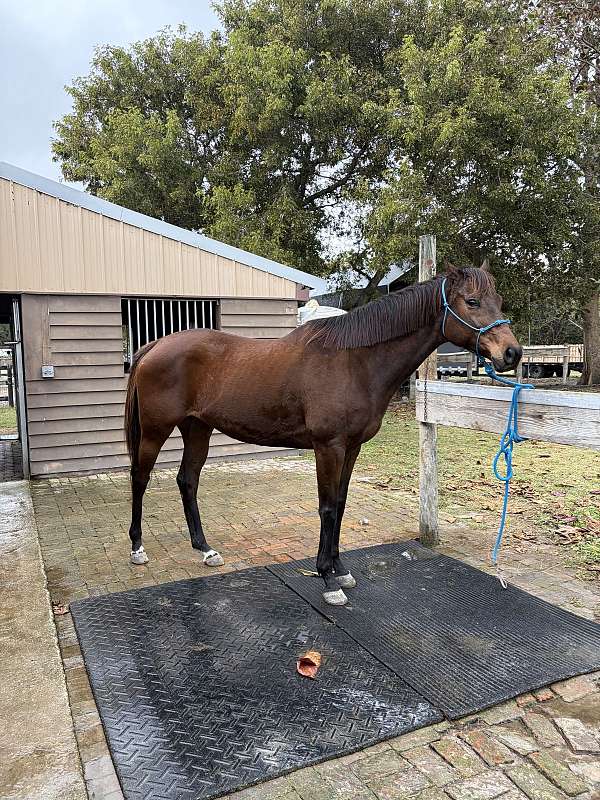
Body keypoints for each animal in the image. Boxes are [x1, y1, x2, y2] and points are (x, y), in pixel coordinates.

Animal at [124, 264, 522, 605]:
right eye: (472, 301)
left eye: (499, 300)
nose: (512, 353)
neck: (356, 362)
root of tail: (154, 347)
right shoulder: (328, 447)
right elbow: (327, 508)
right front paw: (328, 579)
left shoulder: (352, 448)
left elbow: (341, 505)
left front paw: (340, 569)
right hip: (156, 430)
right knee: (140, 478)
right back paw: (138, 548)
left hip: (198, 429)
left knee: (187, 480)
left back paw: (205, 550)